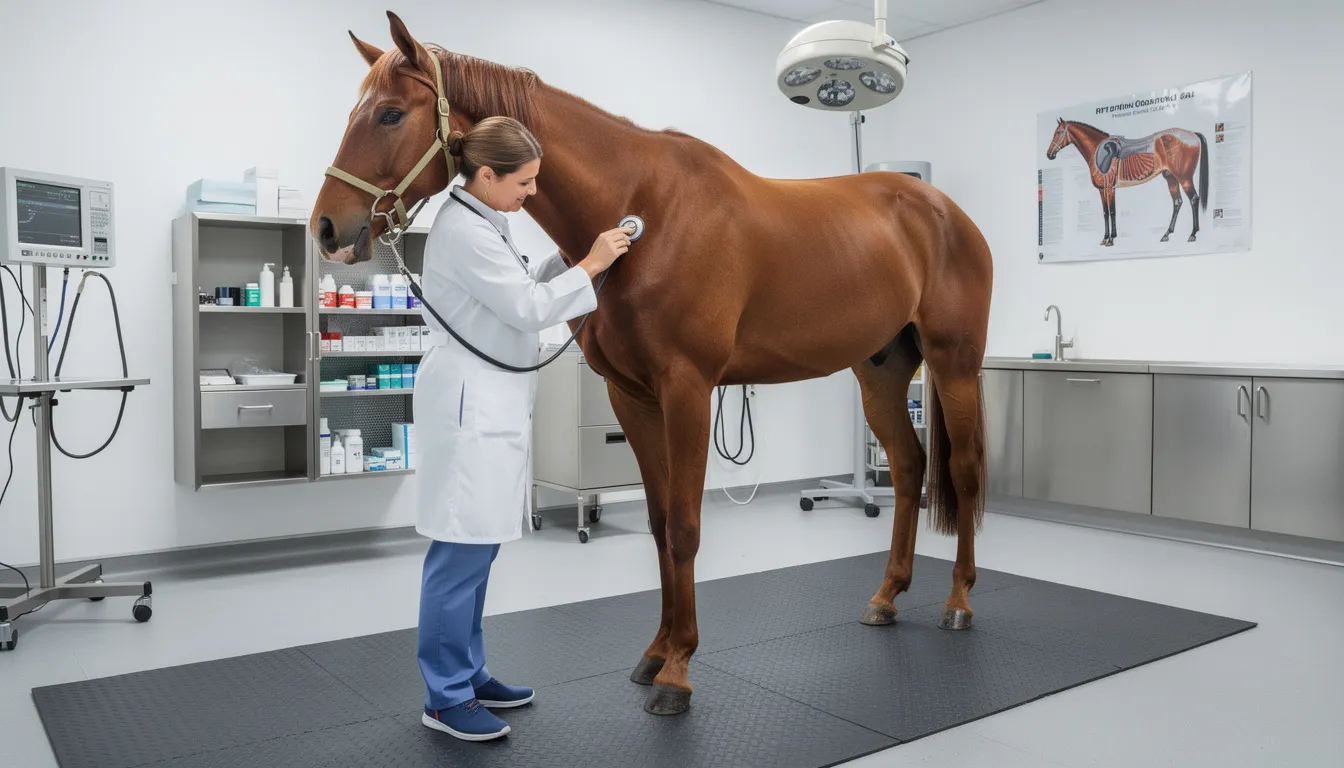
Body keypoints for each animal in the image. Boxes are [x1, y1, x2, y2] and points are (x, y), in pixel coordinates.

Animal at [311, 11, 993, 717]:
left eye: (390, 114)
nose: (328, 228)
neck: (648, 209)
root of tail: (944, 211)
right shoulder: (632, 398)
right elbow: (661, 522)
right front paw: (658, 652)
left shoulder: (687, 389)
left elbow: (686, 528)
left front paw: (678, 674)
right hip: (880, 372)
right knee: (909, 466)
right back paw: (887, 597)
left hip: (953, 364)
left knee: (964, 471)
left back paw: (959, 602)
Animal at [1046, 118, 1208, 247]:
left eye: (1058, 132)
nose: (1049, 155)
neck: (1097, 150)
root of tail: (1193, 134)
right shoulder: (1102, 189)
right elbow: (1105, 212)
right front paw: (1105, 238)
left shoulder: (1109, 188)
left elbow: (1112, 211)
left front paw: (1111, 239)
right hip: (1171, 178)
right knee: (1177, 202)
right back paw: (1167, 234)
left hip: (1184, 177)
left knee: (1194, 199)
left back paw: (1192, 234)